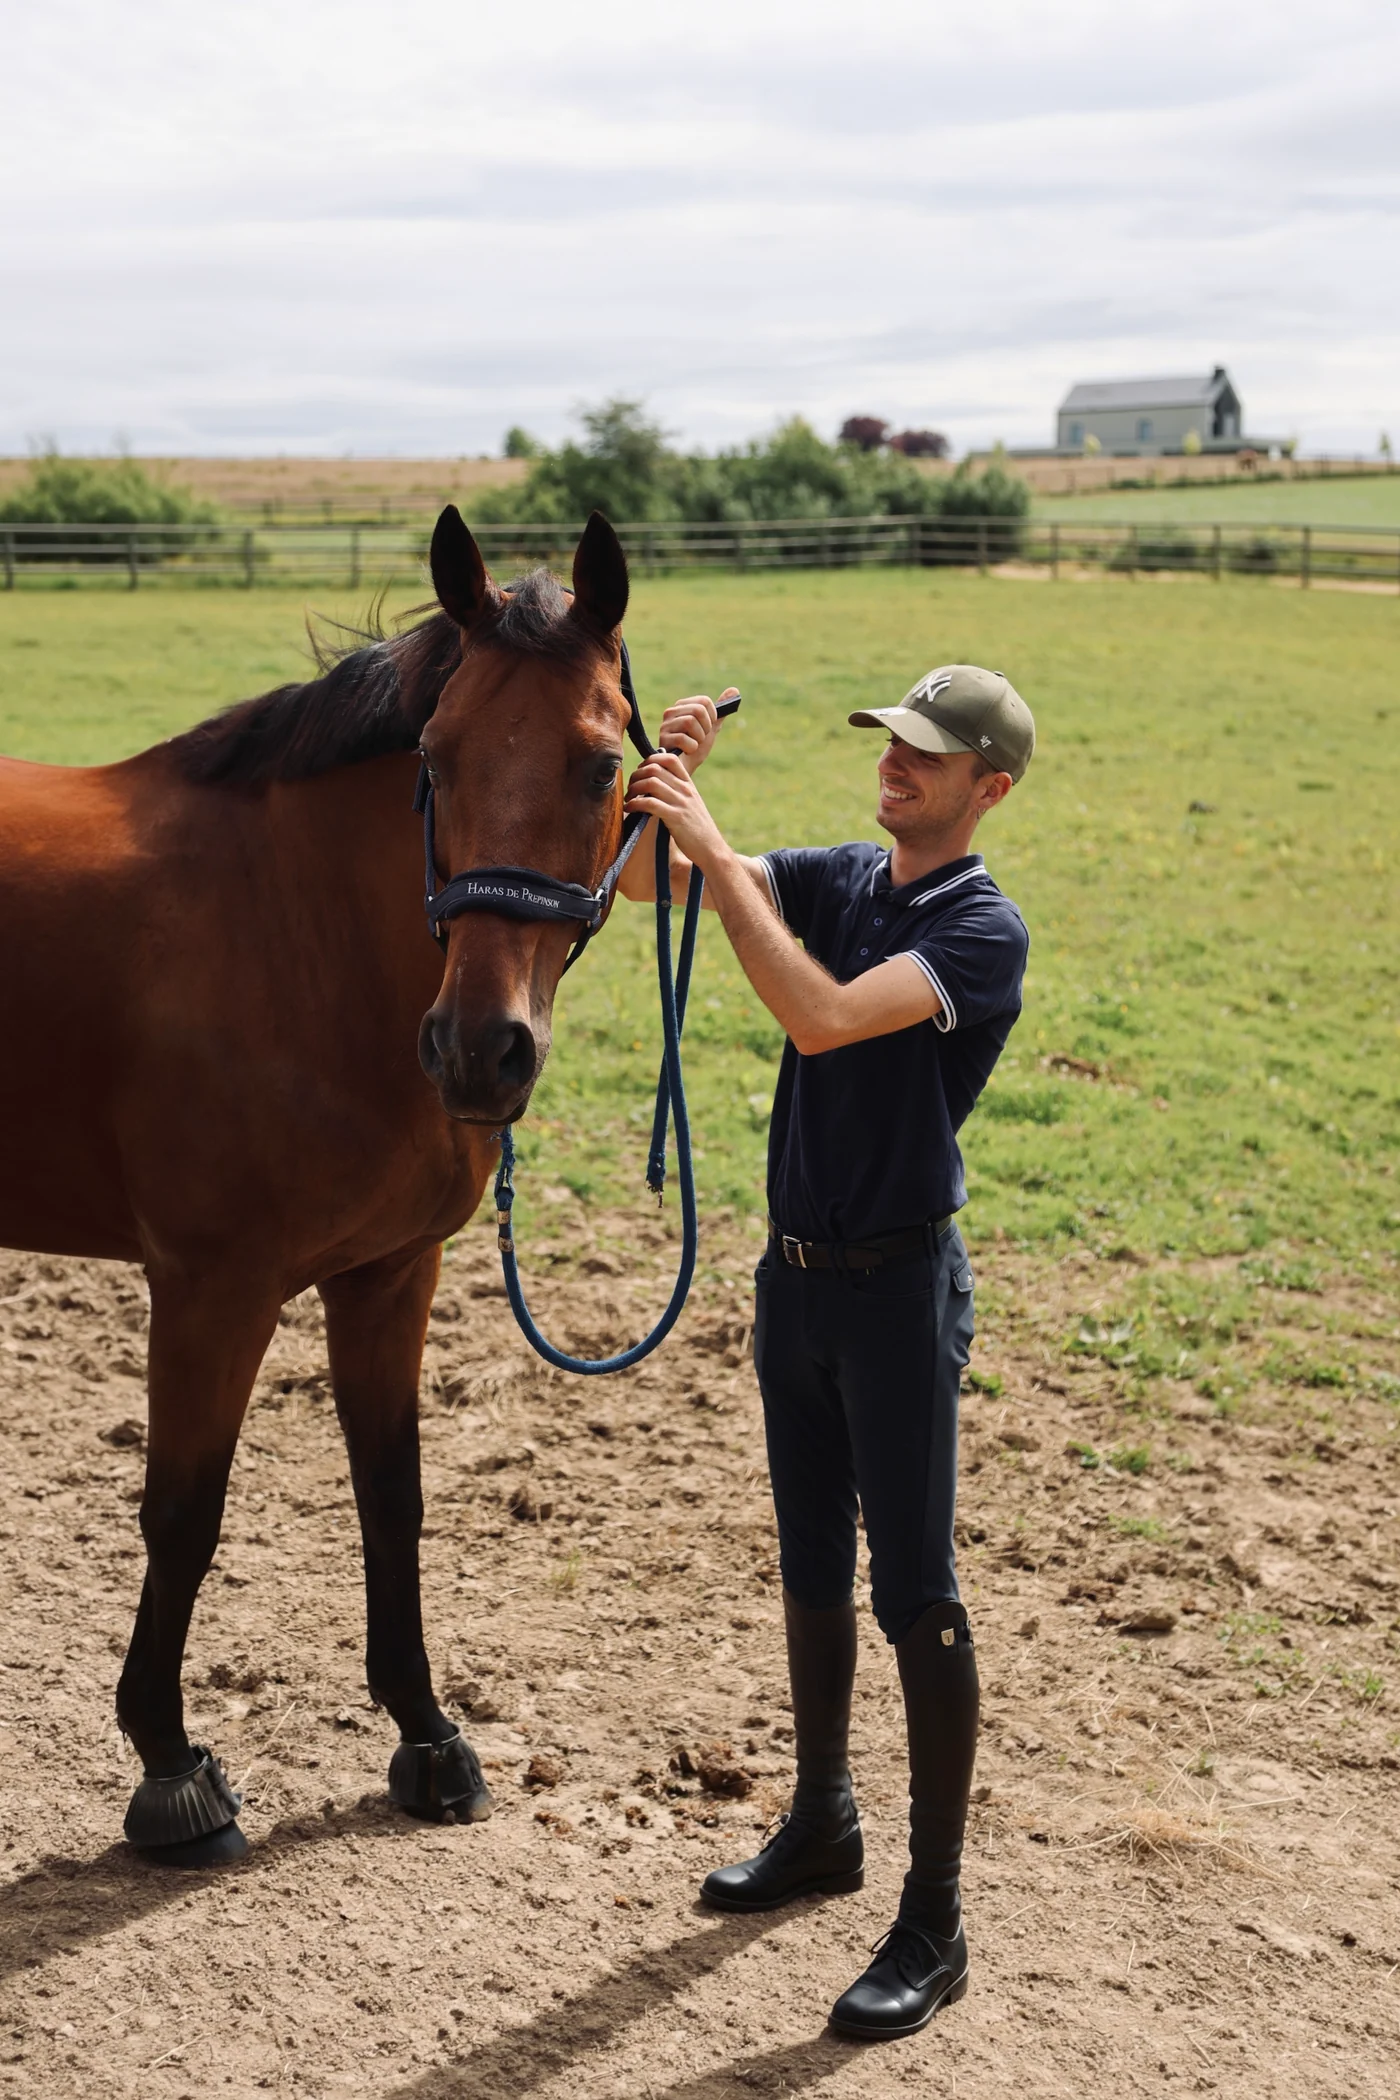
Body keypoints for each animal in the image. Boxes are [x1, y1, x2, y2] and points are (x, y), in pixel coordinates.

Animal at [0, 508, 635, 1863]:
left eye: (599, 763)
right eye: (434, 757)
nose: (478, 1050)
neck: (297, 935)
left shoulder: (388, 1275)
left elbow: (389, 1495)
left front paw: (428, 1737)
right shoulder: (211, 1291)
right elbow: (183, 1515)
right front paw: (170, 1767)